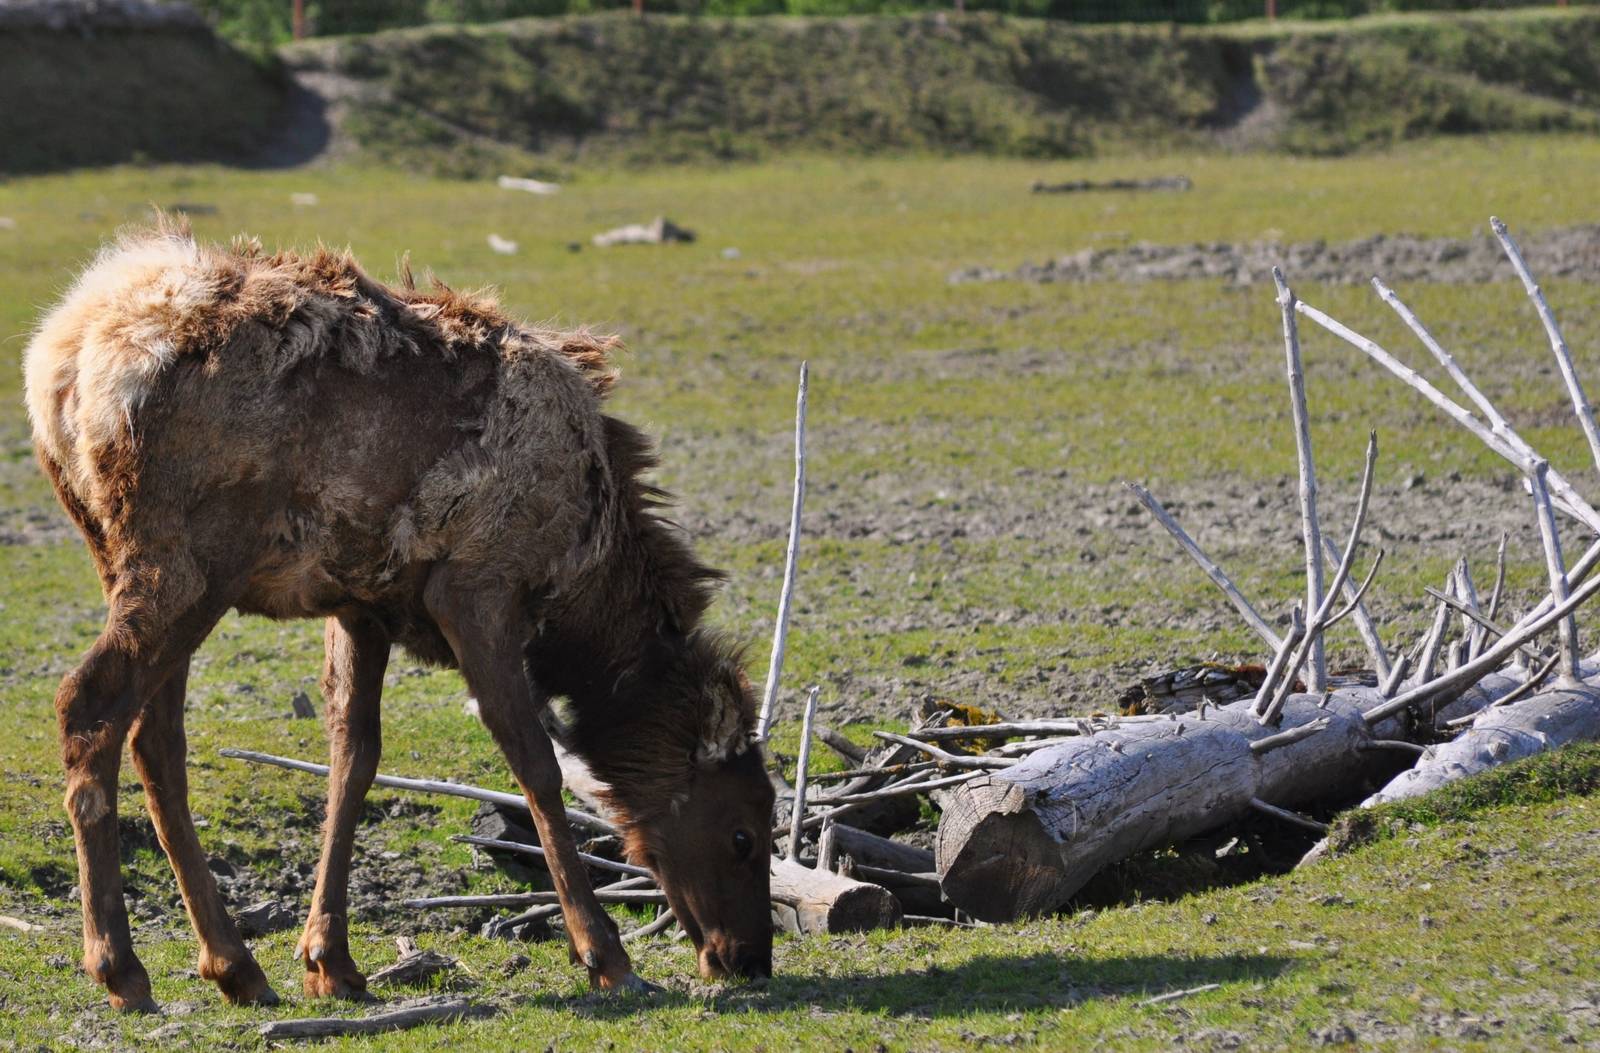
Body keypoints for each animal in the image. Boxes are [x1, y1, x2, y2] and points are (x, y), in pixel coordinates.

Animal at [23, 217, 776, 1012]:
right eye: (743, 834)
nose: (749, 957)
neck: (584, 574)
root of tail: (60, 363)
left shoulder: (363, 607)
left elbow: (353, 760)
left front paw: (330, 959)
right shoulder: (477, 586)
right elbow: (534, 761)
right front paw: (604, 952)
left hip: (137, 565)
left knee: (156, 740)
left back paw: (234, 964)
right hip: (184, 567)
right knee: (88, 706)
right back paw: (120, 966)